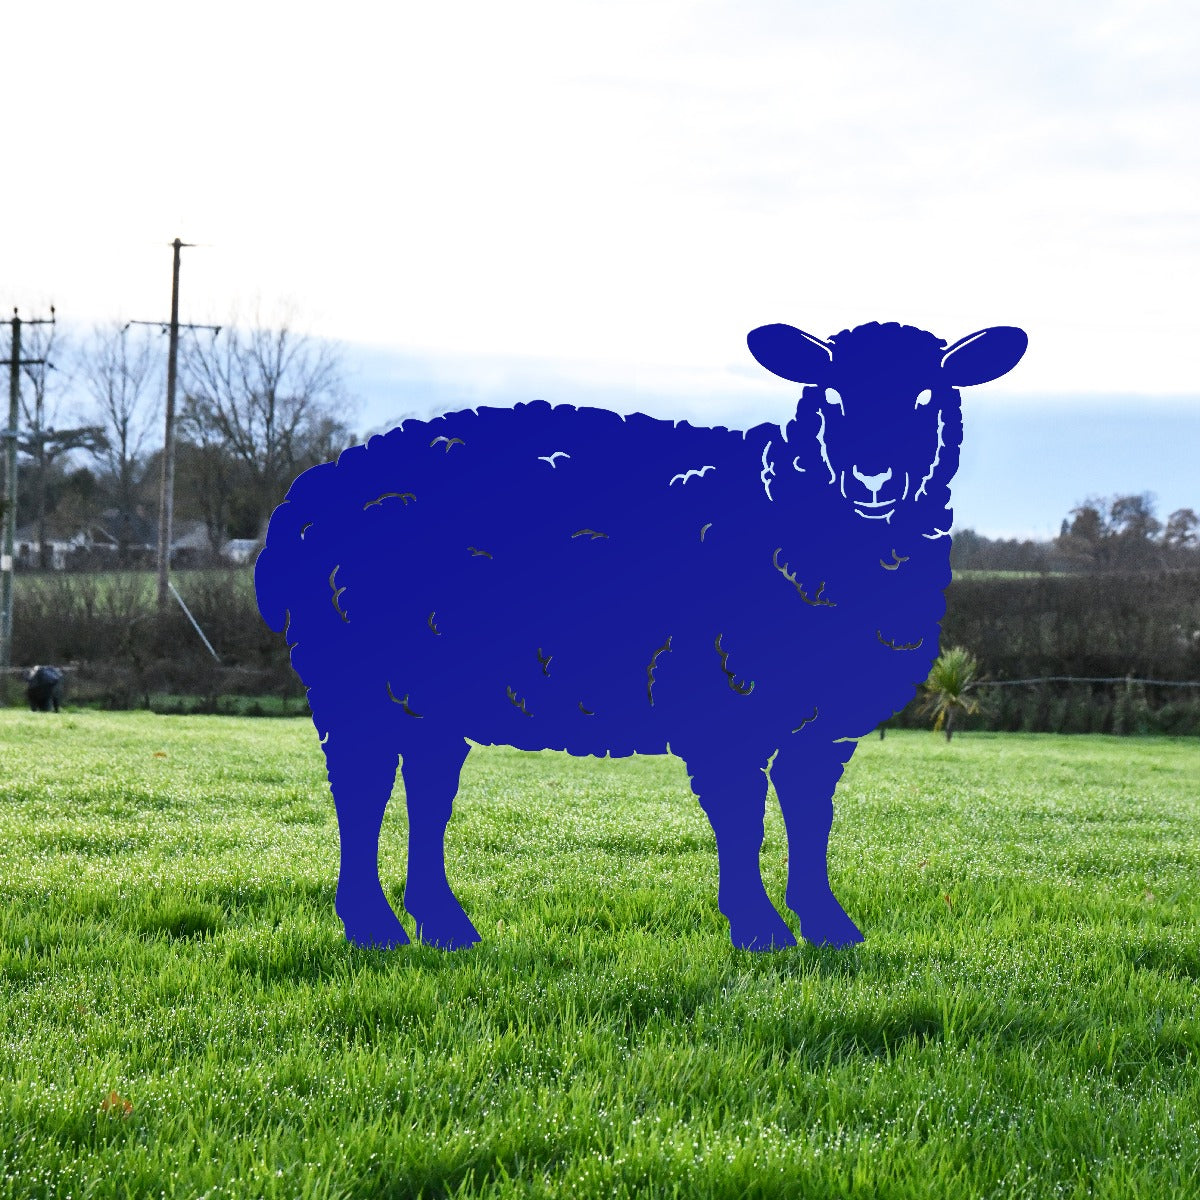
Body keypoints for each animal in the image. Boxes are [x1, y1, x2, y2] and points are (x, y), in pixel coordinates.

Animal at [256, 321, 1027, 951]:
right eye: (830, 396)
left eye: (930, 397)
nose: (874, 480)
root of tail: (308, 497)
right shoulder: (722, 699)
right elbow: (743, 819)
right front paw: (760, 931)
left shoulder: (823, 725)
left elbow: (812, 820)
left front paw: (829, 928)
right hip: (352, 679)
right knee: (361, 792)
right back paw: (372, 926)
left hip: (425, 693)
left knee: (427, 788)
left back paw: (443, 926)